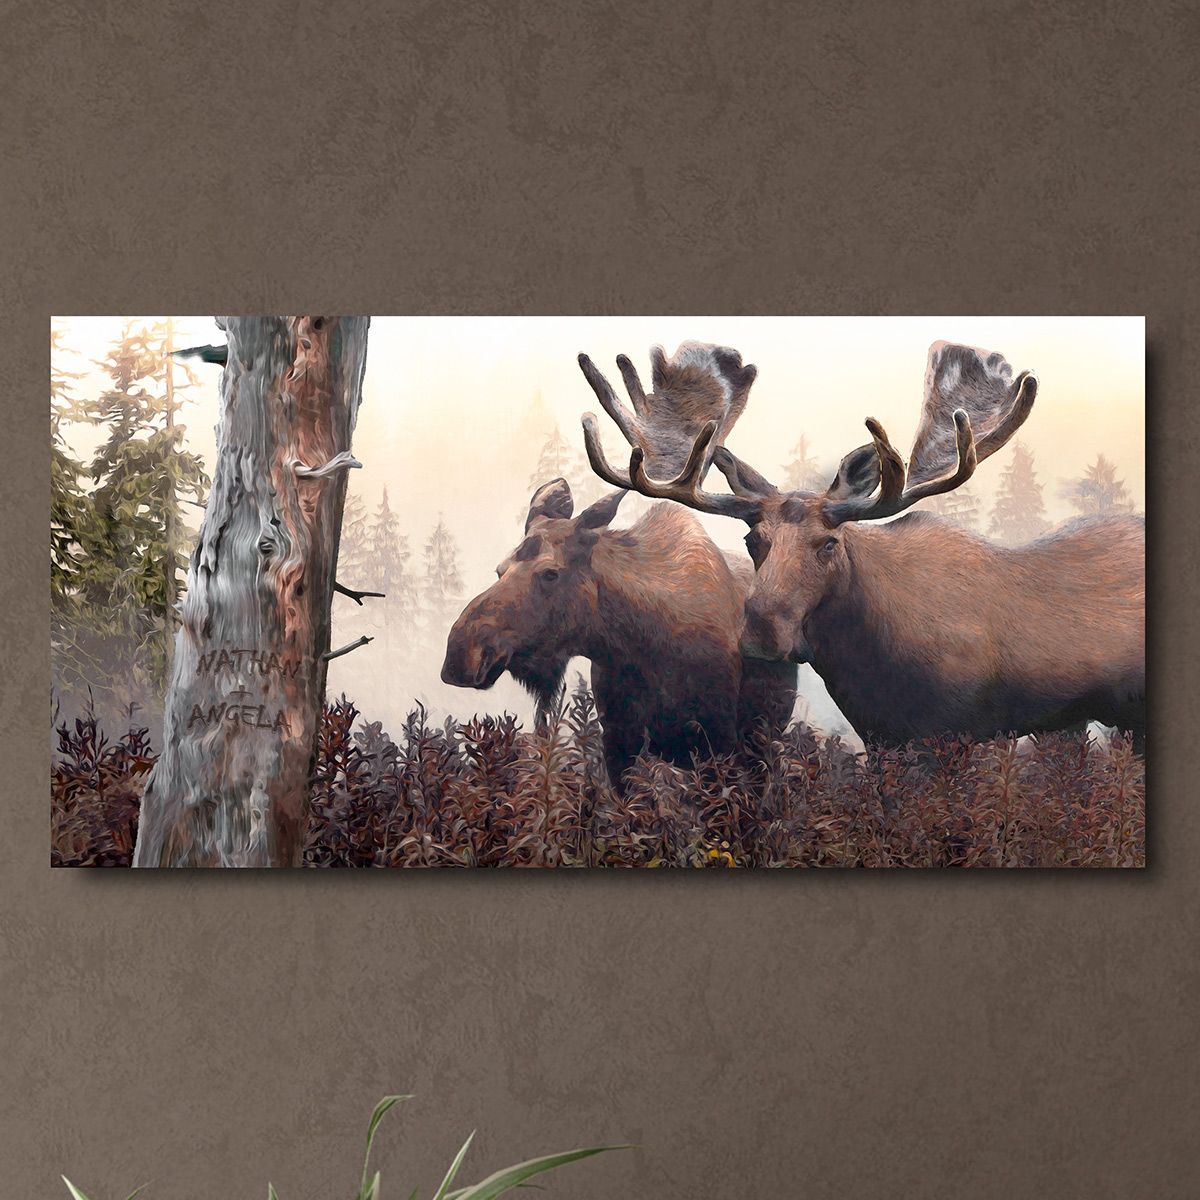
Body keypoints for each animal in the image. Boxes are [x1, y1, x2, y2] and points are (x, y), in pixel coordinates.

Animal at [441, 343, 797, 792]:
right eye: (499, 569)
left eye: (550, 573)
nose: (460, 653)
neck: (639, 643)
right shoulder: (618, 742)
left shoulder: (720, 742)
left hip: (762, 741)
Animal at [579, 340, 1146, 754]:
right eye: (752, 539)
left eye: (829, 543)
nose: (761, 630)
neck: (871, 657)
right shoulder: (880, 738)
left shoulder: (954, 731)